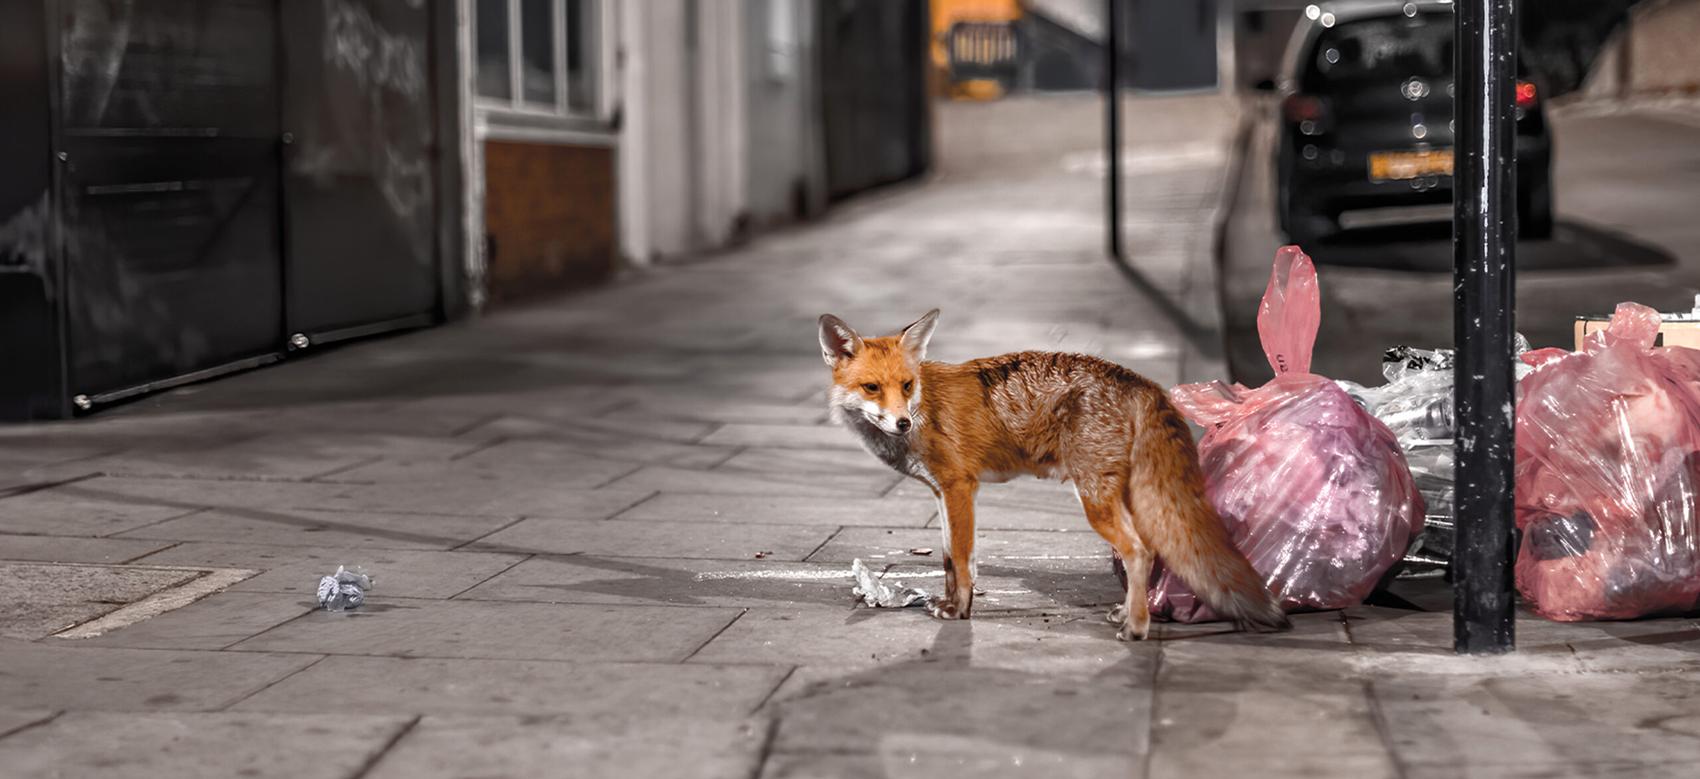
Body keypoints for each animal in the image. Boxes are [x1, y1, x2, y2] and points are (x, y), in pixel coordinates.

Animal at [818, 309, 1289, 640]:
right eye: (872, 388)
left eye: (906, 385)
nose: (903, 423)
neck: (925, 406)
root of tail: (1141, 381)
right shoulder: (943, 494)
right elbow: (955, 559)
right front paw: (954, 603)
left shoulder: (959, 487)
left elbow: (961, 562)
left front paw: (959, 612)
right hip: (1126, 496)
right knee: (1152, 550)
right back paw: (1131, 612)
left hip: (1095, 499)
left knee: (1139, 552)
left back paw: (1136, 628)